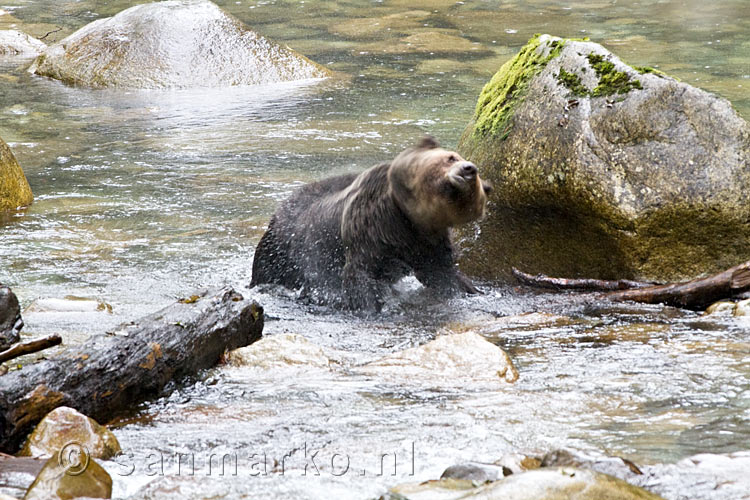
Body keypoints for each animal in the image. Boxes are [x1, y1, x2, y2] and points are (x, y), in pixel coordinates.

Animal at [251, 136, 494, 308]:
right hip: (282, 251)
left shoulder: (426, 244)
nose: (469, 168)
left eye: (461, 159)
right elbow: (360, 277)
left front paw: (466, 290)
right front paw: (370, 306)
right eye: (451, 157)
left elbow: (441, 273)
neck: (404, 219)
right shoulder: (370, 232)